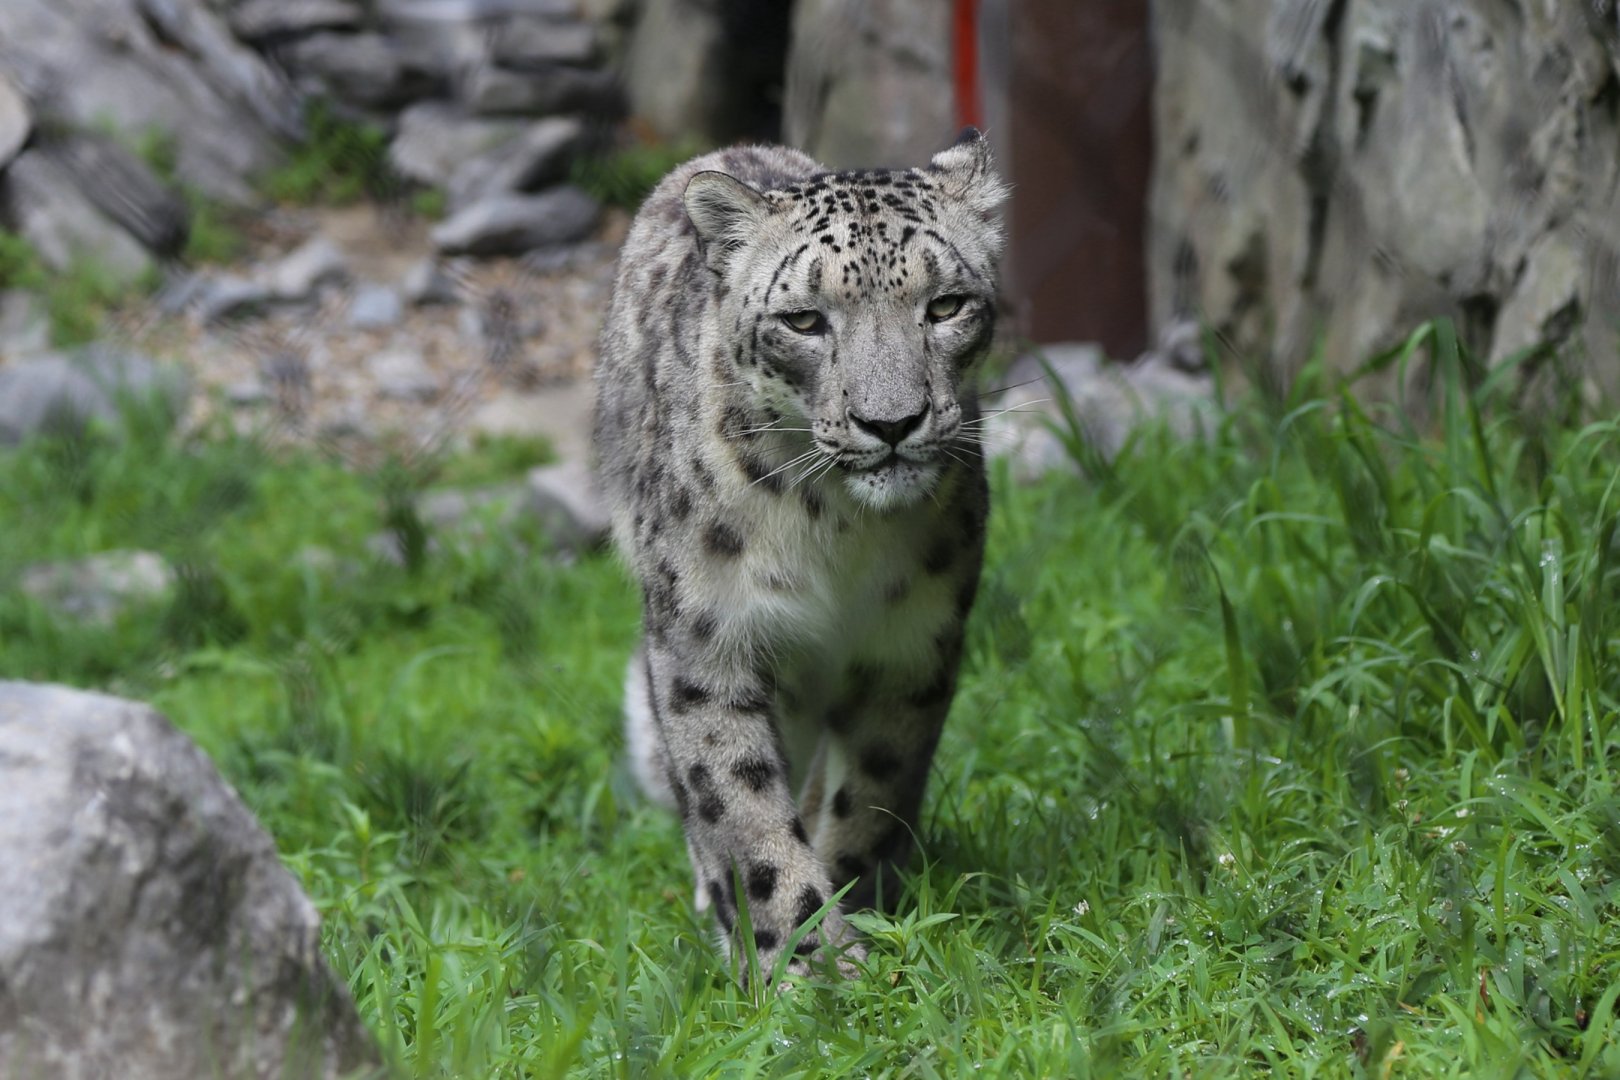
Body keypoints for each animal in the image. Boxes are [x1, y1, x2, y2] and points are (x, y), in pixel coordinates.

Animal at [592, 128, 1007, 980]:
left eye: (946, 305)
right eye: (806, 320)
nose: (892, 422)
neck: (837, 530)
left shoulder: (911, 649)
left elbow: (872, 798)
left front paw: (856, 923)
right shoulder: (709, 646)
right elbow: (742, 810)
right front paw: (807, 963)